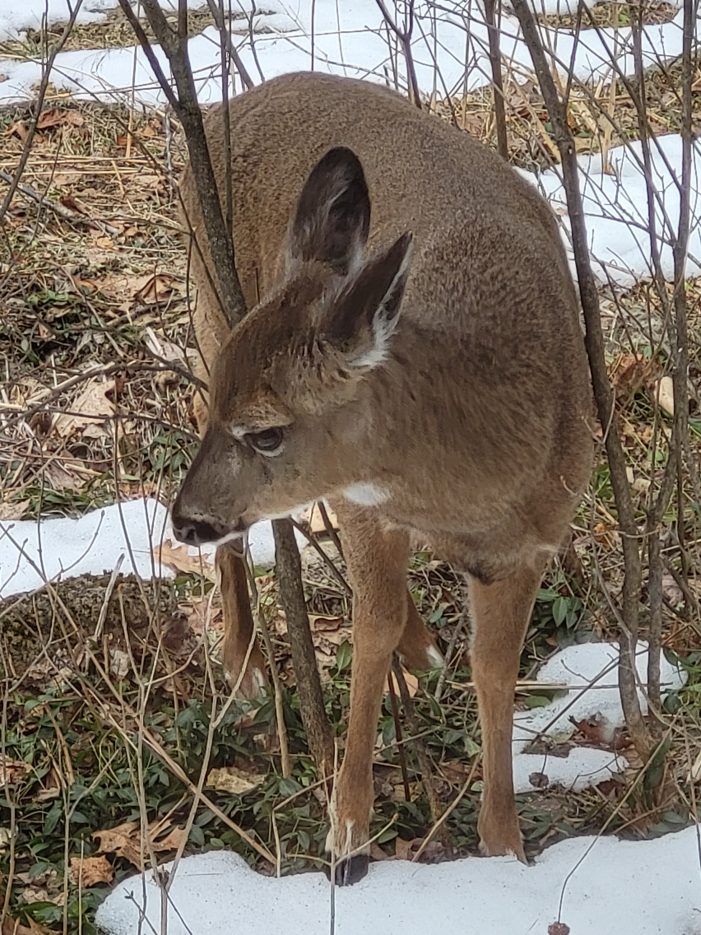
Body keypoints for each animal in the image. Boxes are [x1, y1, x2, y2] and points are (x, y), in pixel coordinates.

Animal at [170, 71, 592, 884]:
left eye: (267, 431)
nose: (184, 518)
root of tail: (230, 101)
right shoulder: (365, 503)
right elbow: (369, 630)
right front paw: (347, 834)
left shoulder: (531, 544)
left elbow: (495, 669)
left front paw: (505, 845)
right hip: (206, 303)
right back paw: (245, 667)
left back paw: (419, 653)